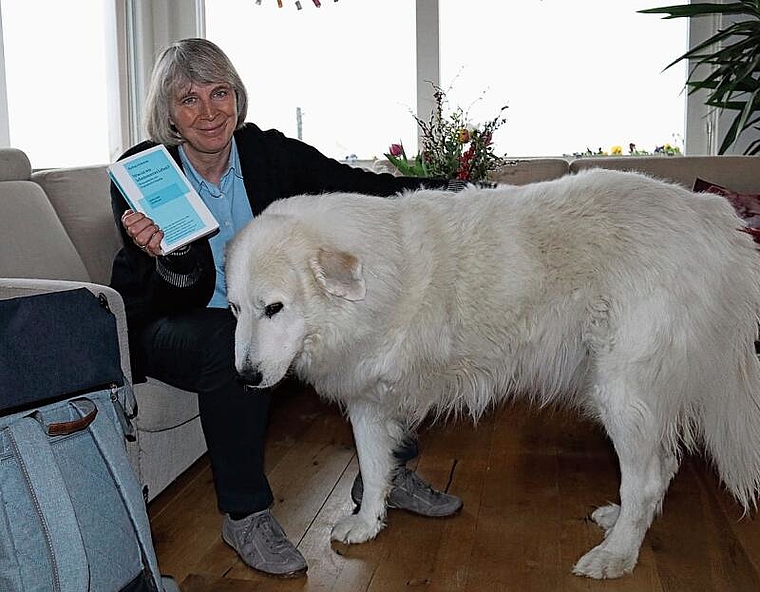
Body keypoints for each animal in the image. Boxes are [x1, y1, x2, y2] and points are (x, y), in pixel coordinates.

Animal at [224, 169, 760, 580]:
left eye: (274, 308)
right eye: (233, 309)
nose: (244, 378)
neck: (380, 276)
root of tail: (708, 214)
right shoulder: (369, 400)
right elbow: (375, 469)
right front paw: (367, 523)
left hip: (623, 393)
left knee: (645, 480)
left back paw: (616, 556)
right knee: (661, 466)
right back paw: (620, 524)